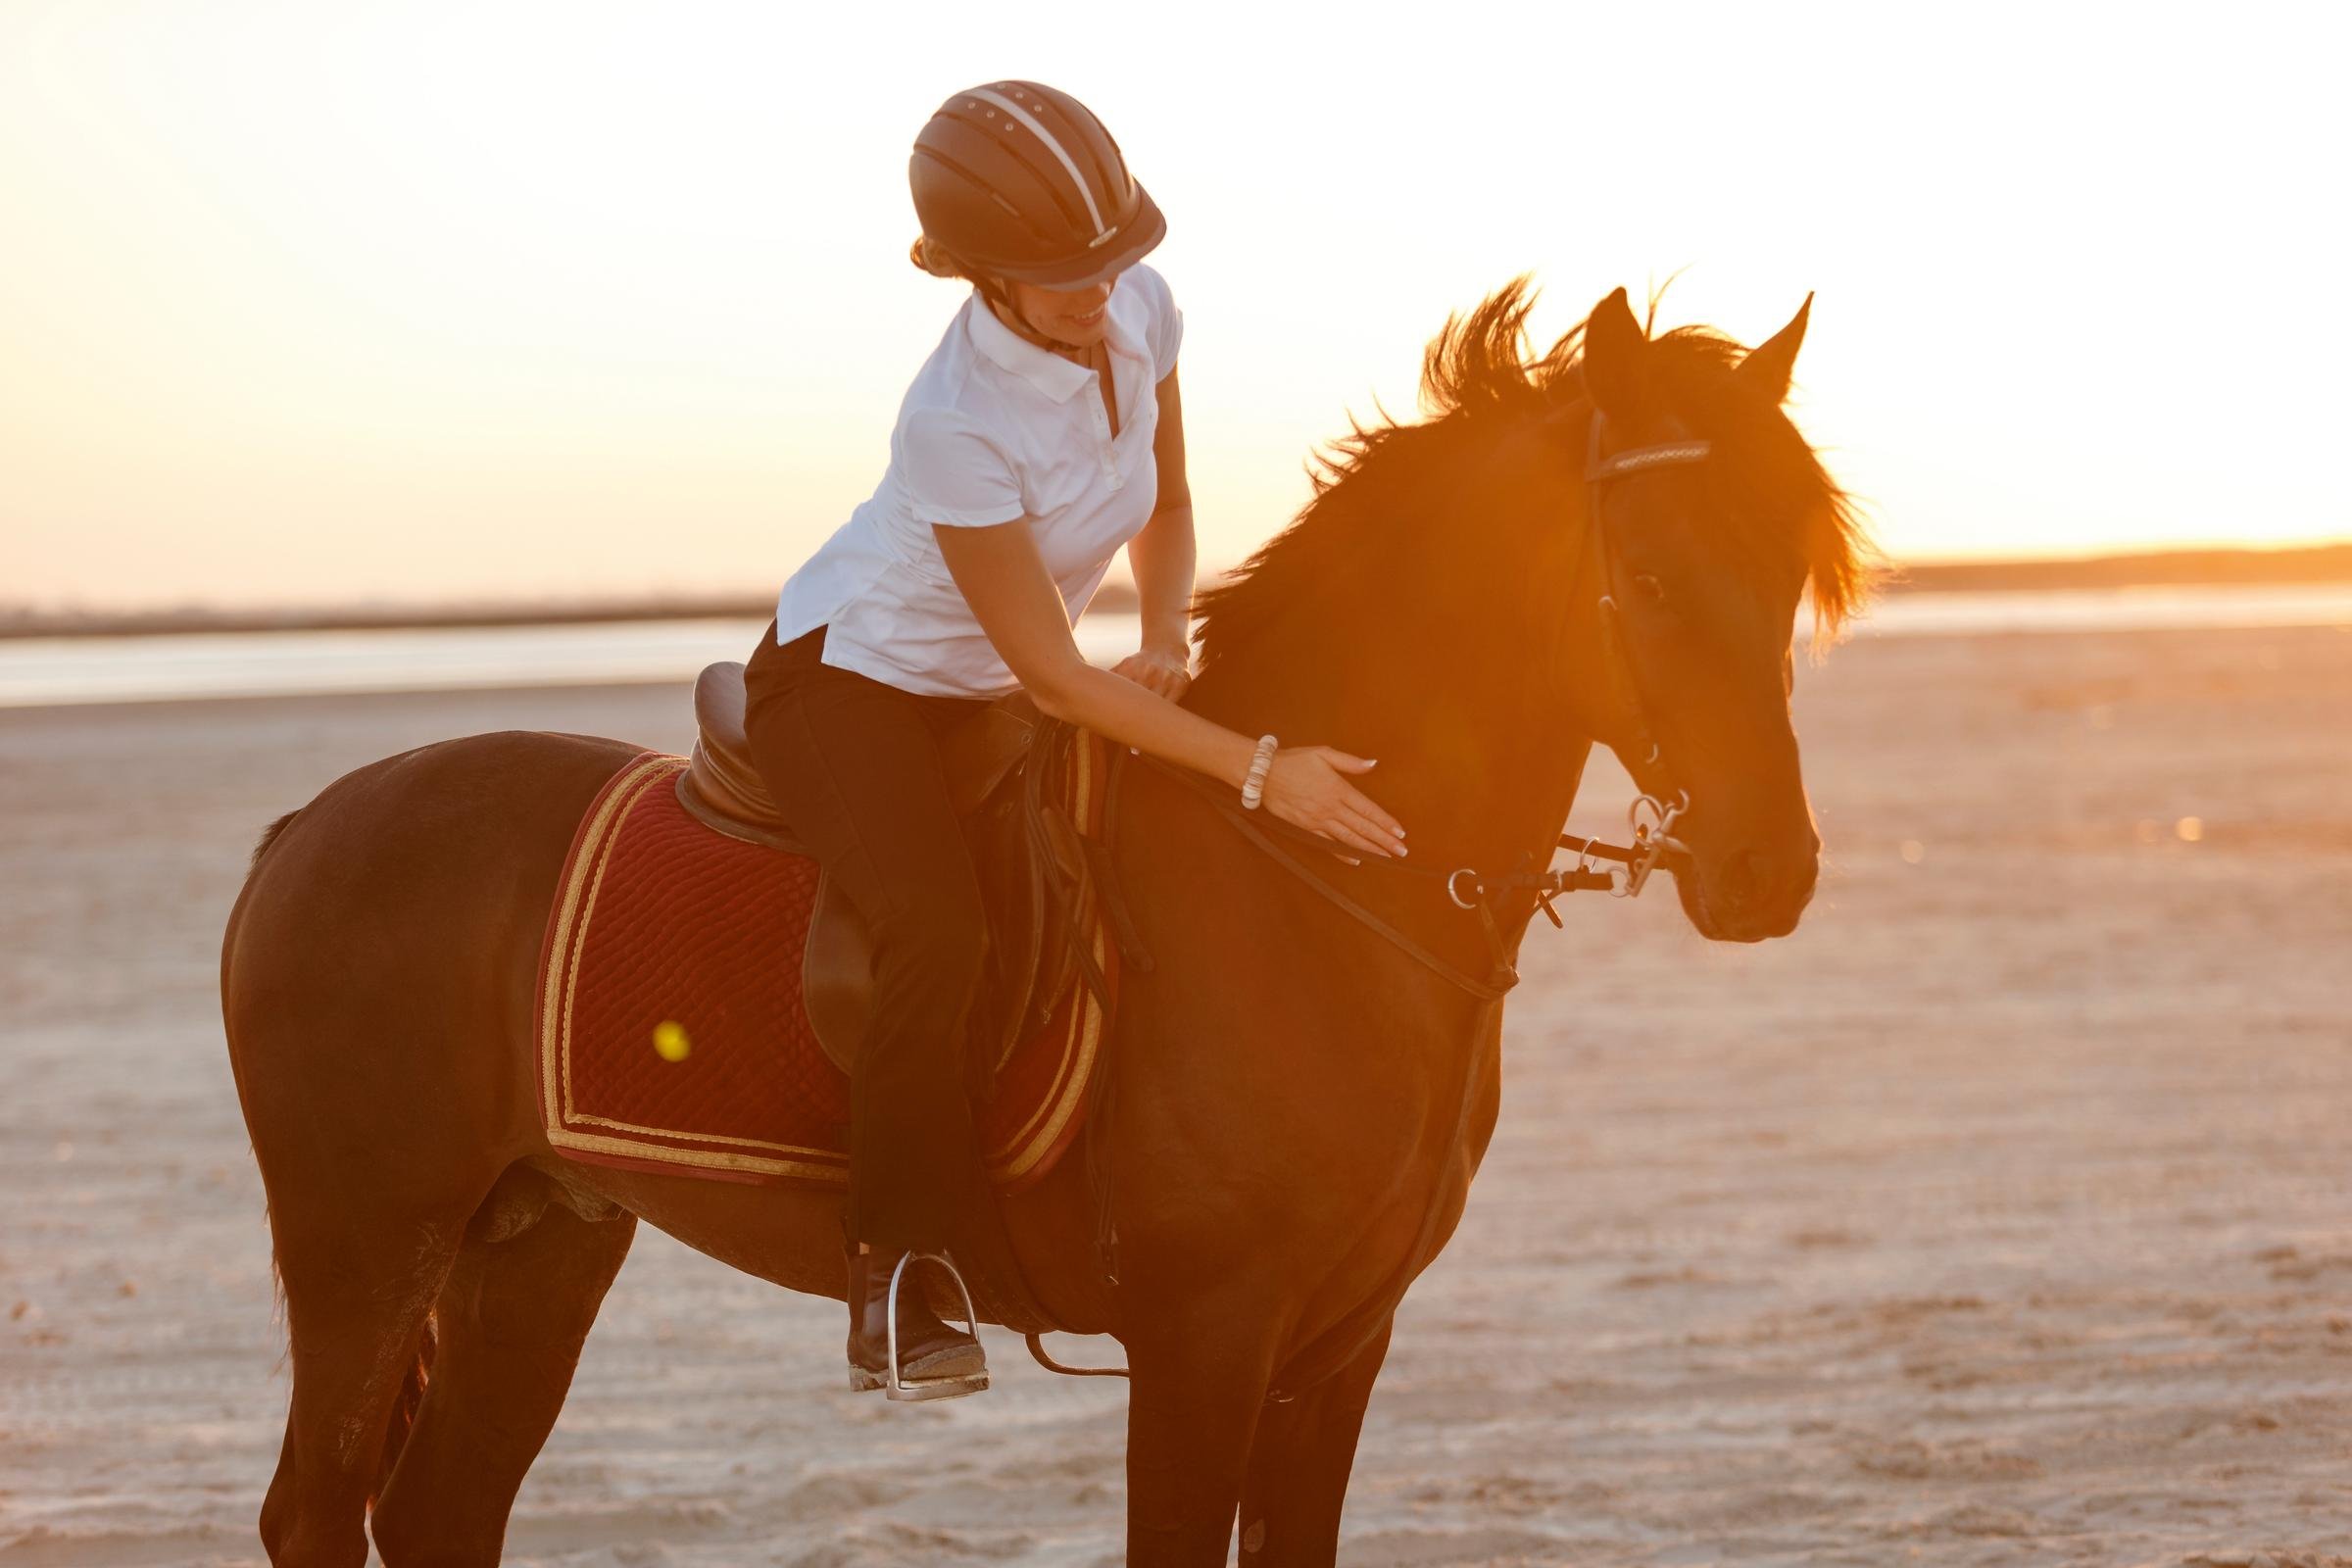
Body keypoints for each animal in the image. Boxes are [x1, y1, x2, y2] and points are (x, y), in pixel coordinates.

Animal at [219, 281, 1869, 1566]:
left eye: (1792, 570)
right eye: (1646, 575)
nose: (1768, 872)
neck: (1311, 893)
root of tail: (308, 828)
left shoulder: (1338, 1347)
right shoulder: (1204, 1345)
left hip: (538, 1239)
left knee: (437, 1514)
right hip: (368, 1242)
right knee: (315, 1511)